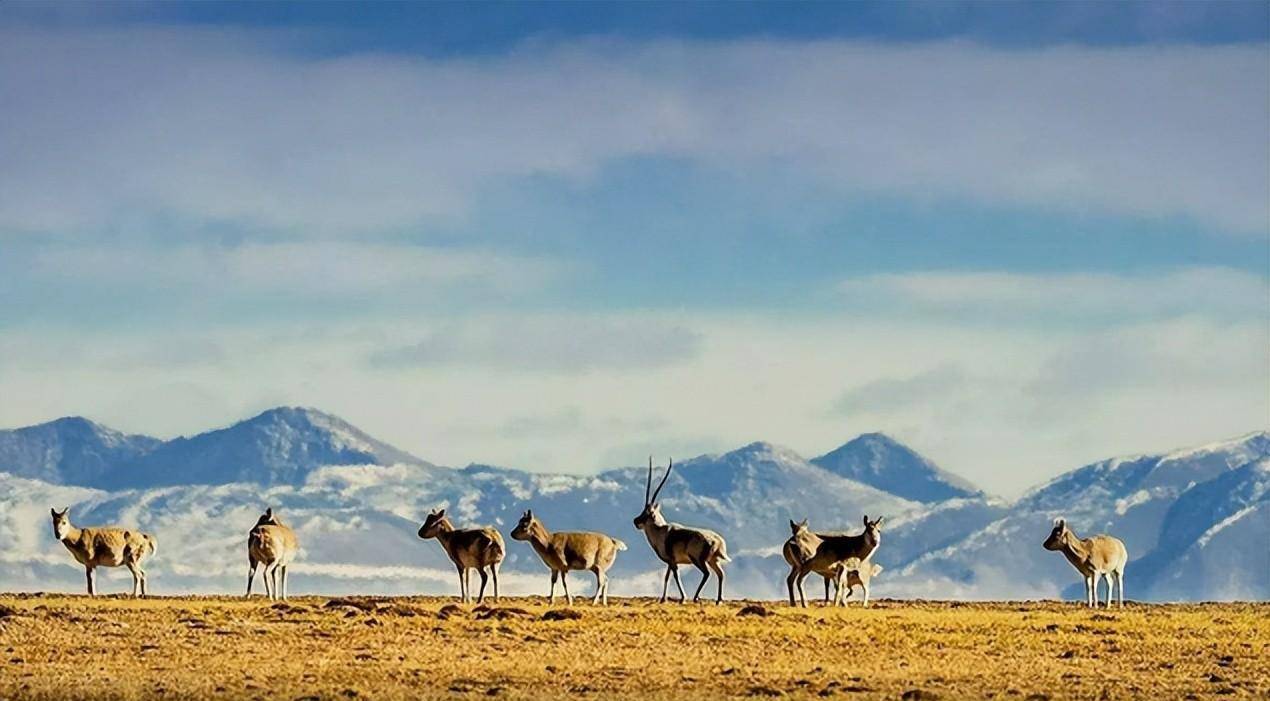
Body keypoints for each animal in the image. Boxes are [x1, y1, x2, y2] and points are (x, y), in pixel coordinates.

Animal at [632, 457, 731, 604]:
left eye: (649, 513)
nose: (635, 521)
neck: (660, 531)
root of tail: (717, 541)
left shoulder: (673, 562)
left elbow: (676, 576)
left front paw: (682, 598)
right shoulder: (670, 562)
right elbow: (666, 577)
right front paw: (663, 599)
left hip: (698, 560)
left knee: (707, 573)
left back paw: (696, 598)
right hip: (713, 560)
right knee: (721, 574)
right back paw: (719, 600)